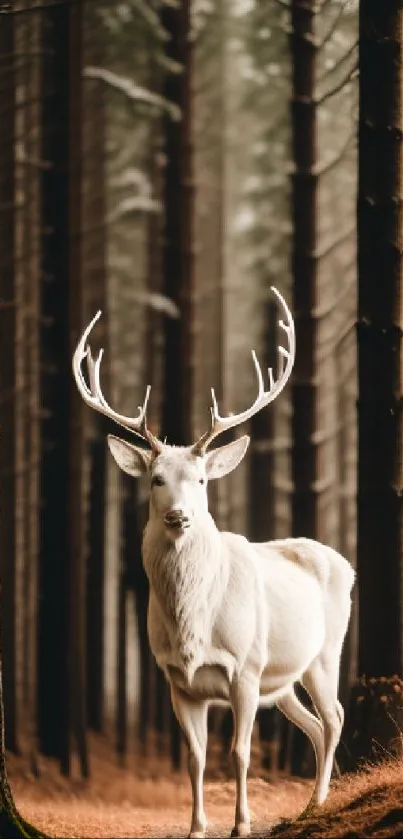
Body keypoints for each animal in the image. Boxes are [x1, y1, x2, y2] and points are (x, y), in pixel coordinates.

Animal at [72, 290, 354, 839]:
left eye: (201, 480)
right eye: (156, 479)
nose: (179, 515)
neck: (193, 627)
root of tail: (346, 564)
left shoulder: (245, 666)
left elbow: (239, 753)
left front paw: (241, 823)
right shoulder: (176, 679)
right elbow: (195, 758)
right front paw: (197, 826)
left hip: (323, 651)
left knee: (334, 716)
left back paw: (318, 802)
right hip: (283, 678)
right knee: (313, 724)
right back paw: (307, 805)